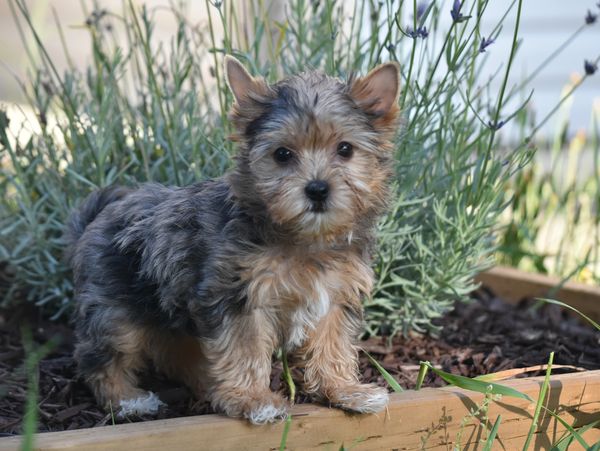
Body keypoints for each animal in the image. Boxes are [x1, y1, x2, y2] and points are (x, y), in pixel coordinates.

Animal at [67, 56, 398, 424]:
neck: (303, 239)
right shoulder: (239, 296)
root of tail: (95, 218)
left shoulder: (336, 295)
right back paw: (128, 400)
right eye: (282, 154)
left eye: (345, 149)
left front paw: (345, 390)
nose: (317, 189)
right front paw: (253, 399)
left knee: (175, 352)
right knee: (102, 358)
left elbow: (332, 345)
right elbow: (246, 348)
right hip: (115, 310)